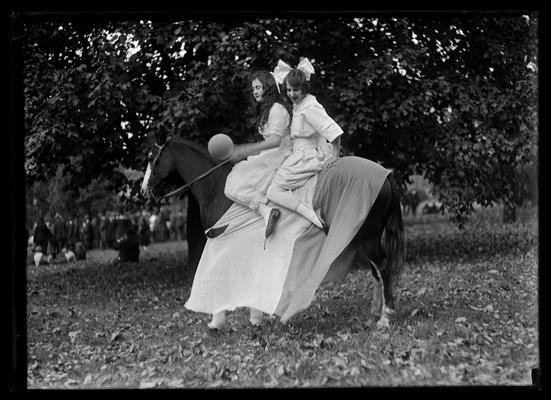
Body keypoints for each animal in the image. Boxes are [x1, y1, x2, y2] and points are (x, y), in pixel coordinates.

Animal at [140, 134, 408, 328]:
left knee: (383, 267)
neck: (218, 188)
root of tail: (386, 175)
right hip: (363, 238)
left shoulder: (224, 241)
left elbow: (224, 276)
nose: (143, 190)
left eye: (153, 159)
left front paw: (219, 321)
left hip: (369, 238)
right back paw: (373, 316)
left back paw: (385, 317)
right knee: (376, 272)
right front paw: (258, 317)